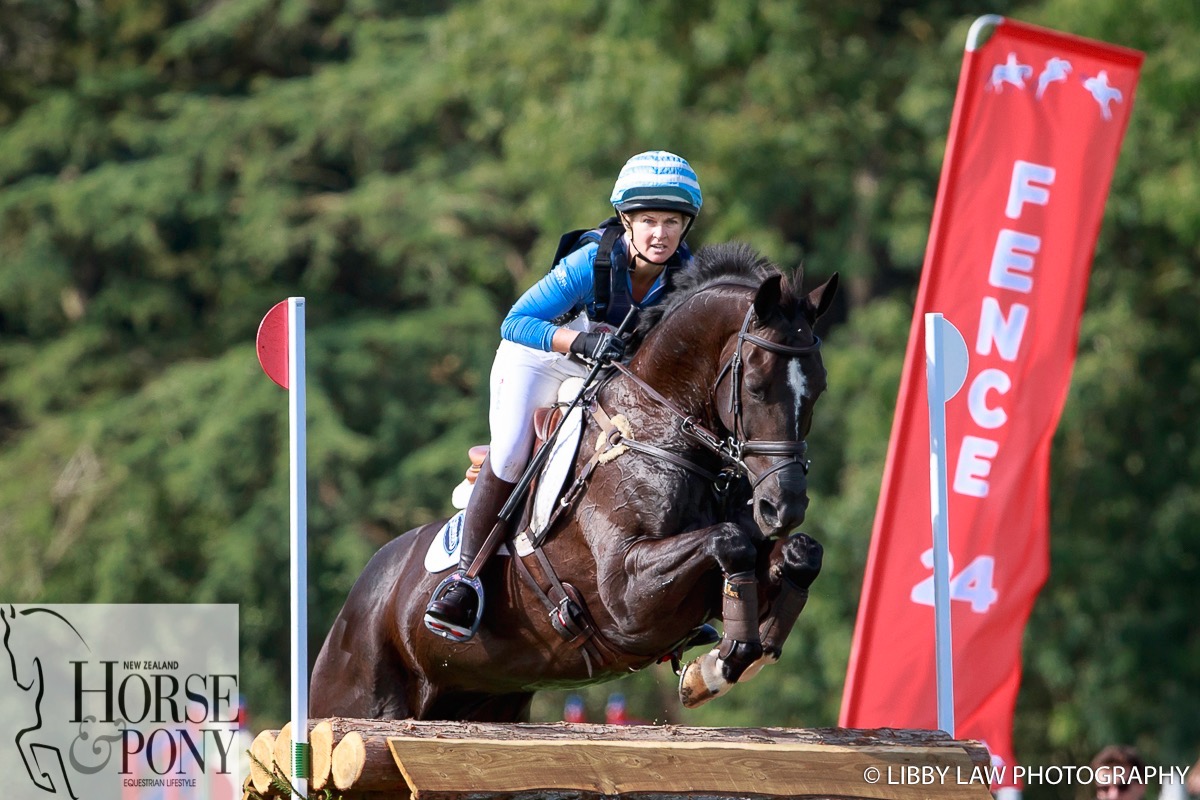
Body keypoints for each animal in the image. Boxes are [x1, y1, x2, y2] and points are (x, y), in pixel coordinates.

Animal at [309, 242, 835, 719]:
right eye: (756, 387)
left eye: (819, 388)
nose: (783, 506)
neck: (654, 429)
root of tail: (357, 599)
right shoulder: (626, 597)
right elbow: (731, 542)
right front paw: (715, 669)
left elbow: (799, 553)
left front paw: (737, 657)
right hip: (357, 697)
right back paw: (455, 600)